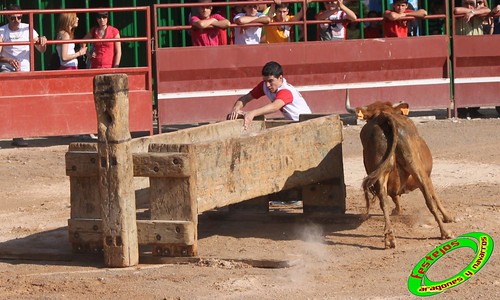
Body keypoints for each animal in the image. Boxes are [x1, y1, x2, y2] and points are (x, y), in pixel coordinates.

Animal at [346, 89, 456, 248]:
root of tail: (384, 117)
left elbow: (394, 197)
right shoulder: (427, 175)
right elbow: (434, 194)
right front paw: (448, 216)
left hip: (382, 172)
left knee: (384, 201)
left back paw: (389, 238)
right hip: (416, 167)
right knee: (429, 199)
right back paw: (445, 232)